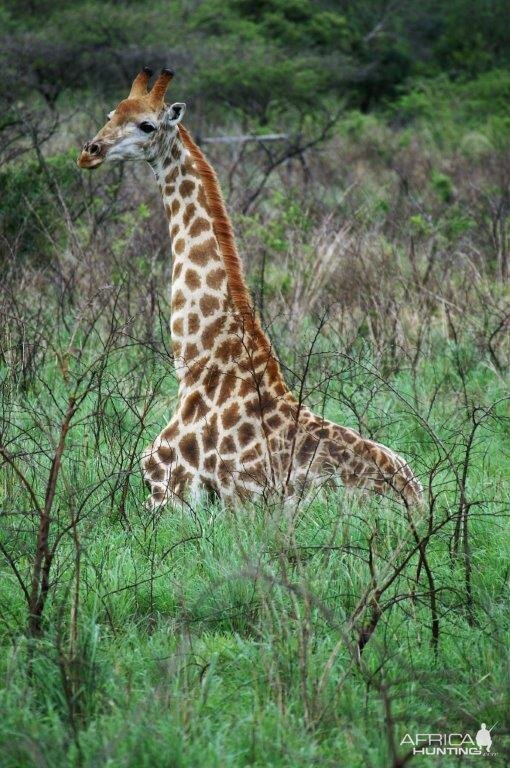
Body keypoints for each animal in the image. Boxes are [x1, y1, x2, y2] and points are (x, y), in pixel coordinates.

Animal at [78, 67, 422, 510]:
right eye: (111, 113)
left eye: (147, 125)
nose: (90, 152)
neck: (198, 364)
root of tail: (418, 502)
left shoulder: (166, 491)